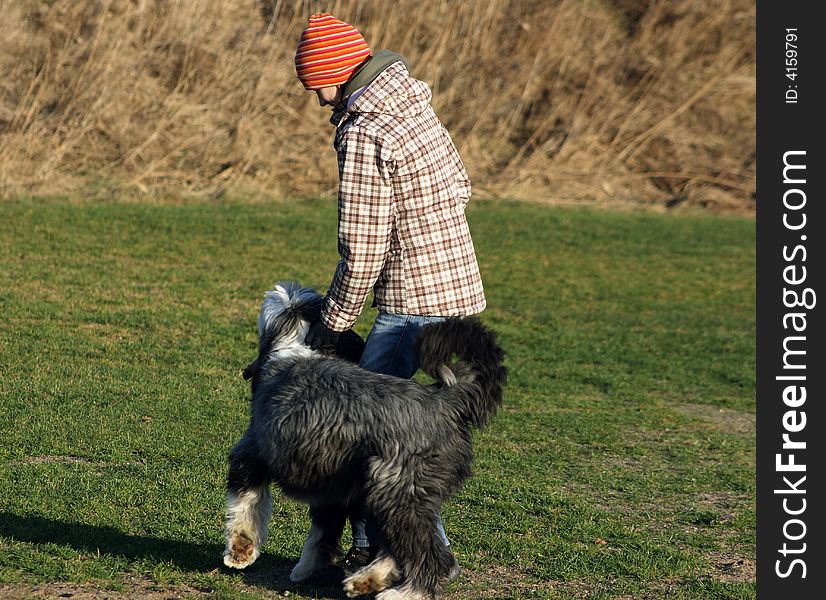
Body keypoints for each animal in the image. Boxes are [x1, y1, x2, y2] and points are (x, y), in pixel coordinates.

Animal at [222, 282, 506, 600]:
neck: (294, 345)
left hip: (395, 492)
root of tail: (445, 400)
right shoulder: (330, 485)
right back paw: (366, 580)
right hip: (387, 493)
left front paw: (240, 552)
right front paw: (306, 568)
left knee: (431, 556)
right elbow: (324, 531)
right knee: (398, 547)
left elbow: (247, 504)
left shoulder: (253, 454)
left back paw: (402, 593)